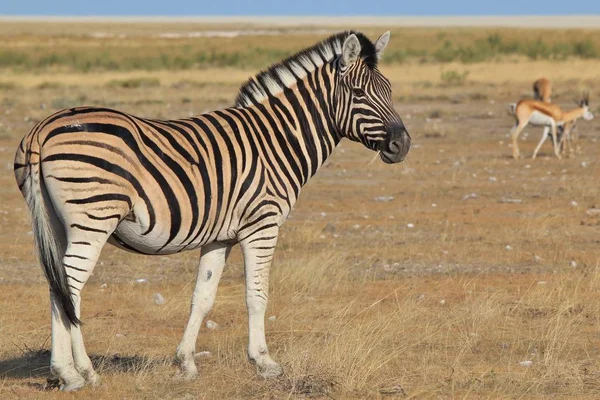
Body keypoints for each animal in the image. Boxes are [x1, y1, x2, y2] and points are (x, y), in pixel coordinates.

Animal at [14, 32, 410, 390]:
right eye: (359, 93)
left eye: (389, 90)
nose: (402, 145)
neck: (278, 141)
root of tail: (42, 128)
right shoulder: (261, 225)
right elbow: (257, 295)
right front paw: (264, 362)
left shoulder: (220, 237)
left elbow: (202, 299)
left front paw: (186, 363)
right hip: (93, 218)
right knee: (70, 283)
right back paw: (75, 373)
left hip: (58, 222)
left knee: (59, 283)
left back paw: (74, 372)